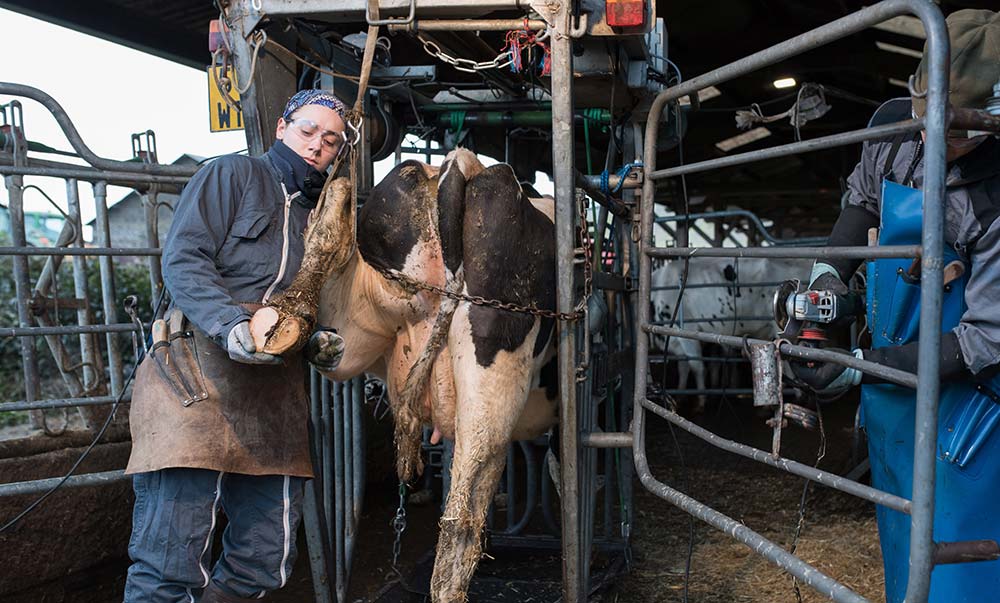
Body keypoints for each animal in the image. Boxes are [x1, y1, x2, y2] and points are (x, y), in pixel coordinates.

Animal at [250, 147, 560, 603]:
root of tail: (460, 163)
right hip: (494, 364)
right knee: (460, 525)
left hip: (366, 313)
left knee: (328, 250)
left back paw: (289, 314)